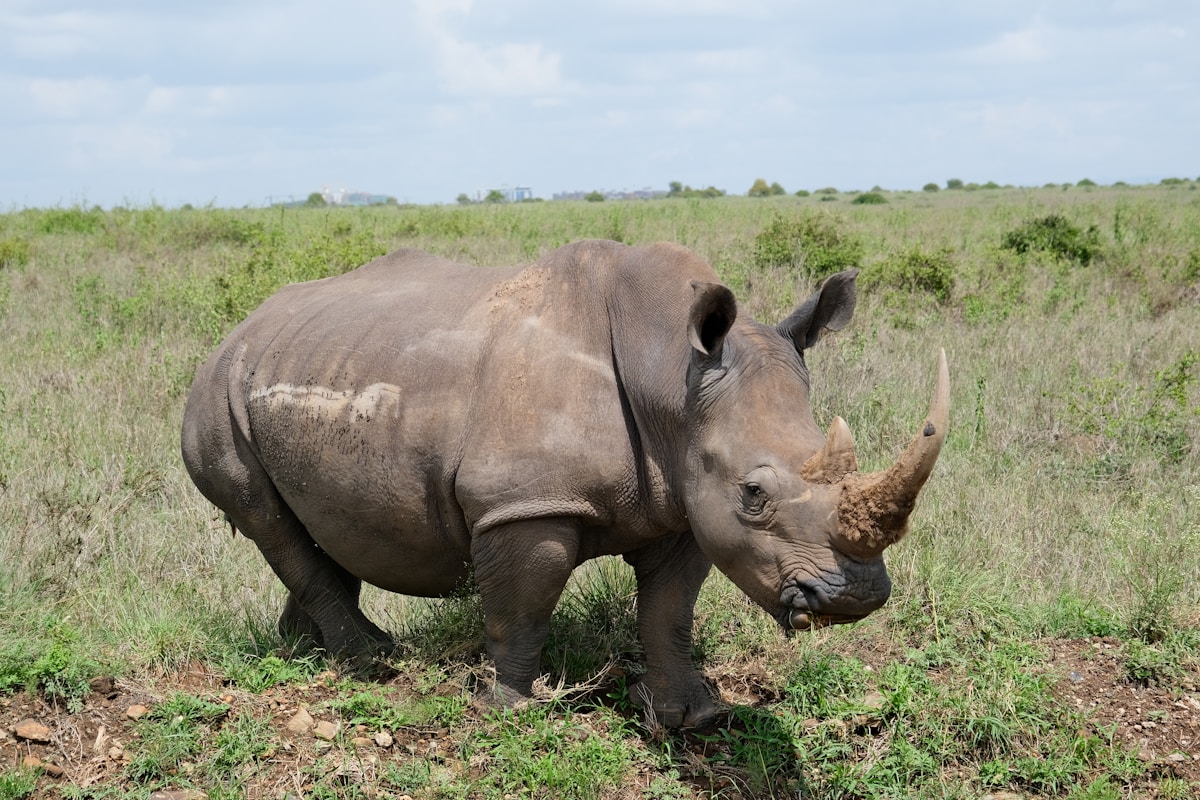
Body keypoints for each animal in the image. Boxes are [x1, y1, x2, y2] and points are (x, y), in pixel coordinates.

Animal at [181, 239, 948, 727]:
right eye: (754, 494)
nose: (853, 598)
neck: (670, 373)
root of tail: (239, 326)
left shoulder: (685, 501)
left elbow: (669, 609)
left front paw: (694, 717)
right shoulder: (523, 504)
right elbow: (525, 603)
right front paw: (514, 712)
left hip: (311, 364)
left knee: (312, 528)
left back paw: (307, 650)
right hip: (216, 394)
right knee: (267, 519)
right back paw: (373, 663)